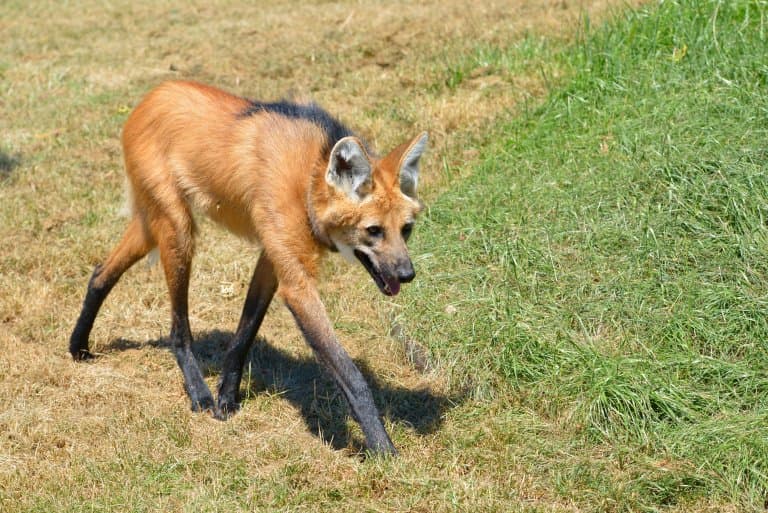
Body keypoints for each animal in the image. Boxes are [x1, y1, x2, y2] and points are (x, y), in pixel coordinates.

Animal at [69, 79, 428, 452]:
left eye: (406, 229)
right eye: (373, 230)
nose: (407, 274)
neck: (308, 179)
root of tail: (153, 94)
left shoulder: (272, 256)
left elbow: (246, 330)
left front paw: (227, 397)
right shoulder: (296, 283)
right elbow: (350, 374)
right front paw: (384, 449)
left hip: (153, 225)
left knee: (101, 272)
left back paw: (78, 345)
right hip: (177, 230)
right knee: (177, 327)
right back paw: (197, 392)